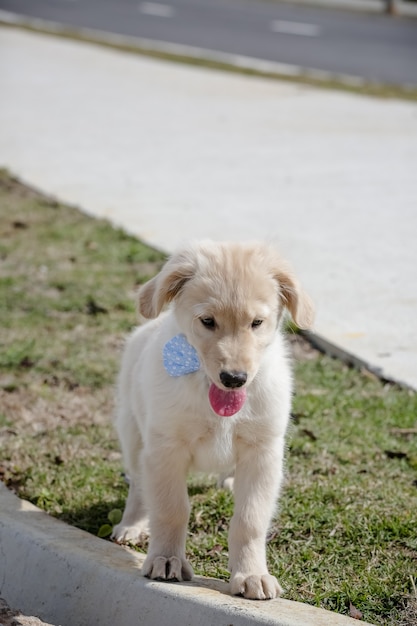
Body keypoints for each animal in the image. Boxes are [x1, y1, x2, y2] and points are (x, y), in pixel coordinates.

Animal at [112, 240, 314, 600]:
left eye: (257, 322)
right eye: (207, 321)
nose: (234, 378)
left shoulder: (262, 453)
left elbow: (249, 520)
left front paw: (251, 574)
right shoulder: (166, 449)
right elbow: (171, 508)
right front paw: (166, 558)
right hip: (133, 435)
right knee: (138, 485)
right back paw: (132, 525)